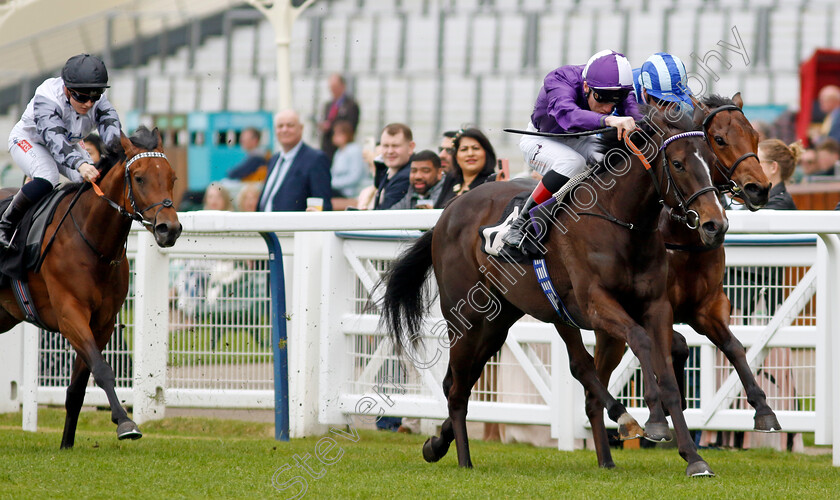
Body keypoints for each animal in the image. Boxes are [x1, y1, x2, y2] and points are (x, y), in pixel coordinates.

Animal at [0, 127, 182, 448]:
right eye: (139, 178)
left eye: (172, 177)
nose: (168, 229)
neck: (93, 242)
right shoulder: (69, 314)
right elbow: (103, 369)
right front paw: (125, 422)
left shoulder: (102, 322)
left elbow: (78, 388)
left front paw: (66, 444)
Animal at [384, 106, 724, 476]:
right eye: (677, 163)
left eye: (712, 159)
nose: (715, 224)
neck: (620, 222)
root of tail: (447, 213)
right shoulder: (596, 304)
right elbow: (641, 340)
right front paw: (657, 422)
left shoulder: (655, 306)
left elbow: (669, 375)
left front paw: (693, 457)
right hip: (467, 317)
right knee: (458, 388)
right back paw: (464, 459)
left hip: (498, 323)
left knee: (478, 377)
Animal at [592, 94, 780, 468]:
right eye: (718, 140)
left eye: (754, 136)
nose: (759, 189)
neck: (682, 237)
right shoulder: (657, 308)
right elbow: (665, 351)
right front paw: (658, 418)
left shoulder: (705, 307)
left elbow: (733, 347)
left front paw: (764, 409)